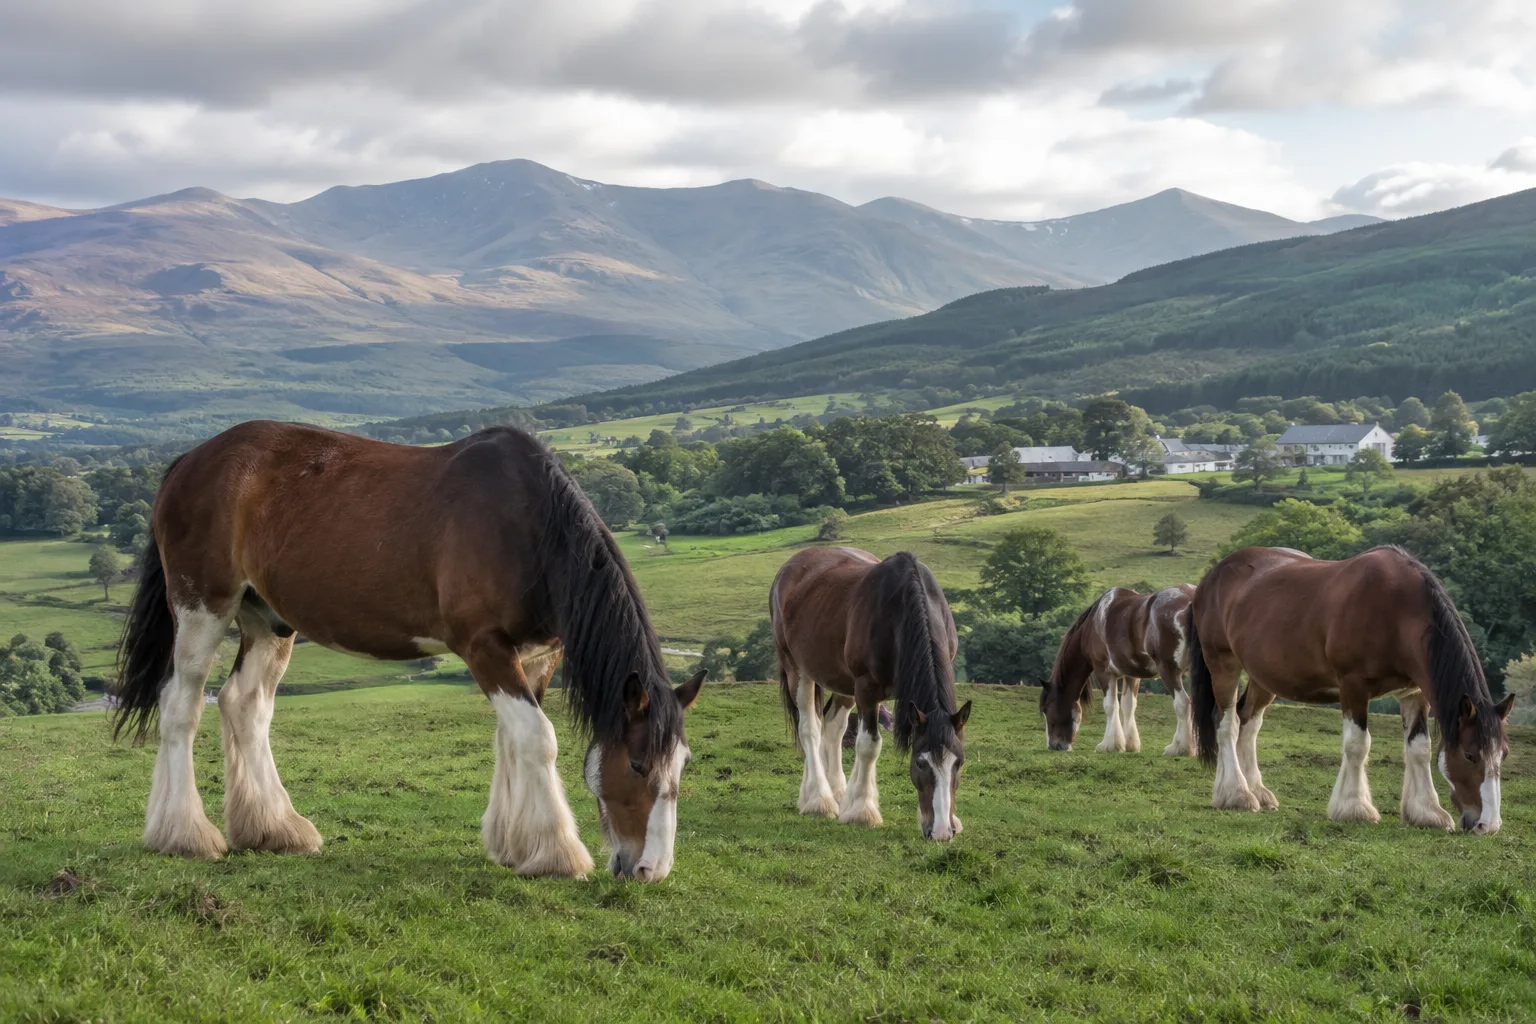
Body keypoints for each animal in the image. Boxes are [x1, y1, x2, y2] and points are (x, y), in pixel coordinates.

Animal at [114, 421, 706, 880]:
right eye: (637, 764)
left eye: (682, 764)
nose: (651, 869)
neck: (527, 526)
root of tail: (190, 460)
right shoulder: (484, 648)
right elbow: (539, 741)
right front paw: (557, 855)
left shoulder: (535, 656)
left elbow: (512, 742)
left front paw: (512, 846)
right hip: (202, 608)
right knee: (182, 706)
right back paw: (184, 835)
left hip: (269, 622)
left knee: (245, 705)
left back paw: (275, 830)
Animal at [769, 547, 970, 841]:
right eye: (921, 763)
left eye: (959, 763)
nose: (942, 832)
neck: (902, 611)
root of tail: (790, 565)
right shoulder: (866, 687)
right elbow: (869, 745)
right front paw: (862, 811)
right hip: (797, 668)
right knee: (810, 728)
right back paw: (818, 799)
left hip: (842, 682)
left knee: (832, 727)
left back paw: (836, 793)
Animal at [1040, 585, 1197, 756]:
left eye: (1046, 709)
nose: (1053, 745)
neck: (1093, 623)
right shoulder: (1132, 674)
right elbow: (1128, 705)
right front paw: (1130, 744)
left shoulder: (1103, 670)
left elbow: (1110, 705)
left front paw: (1109, 745)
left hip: (1168, 669)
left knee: (1182, 703)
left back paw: (1179, 748)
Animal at [1189, 545, 1514, 833]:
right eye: (1470, 755)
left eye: (1504, 754)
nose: (1488, 825)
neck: (1398, 611)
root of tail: (1211, 577)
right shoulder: (1353, 686)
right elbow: (1358, 744)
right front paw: (1354, 808)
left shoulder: (1414, 695)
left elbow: (1420, 749)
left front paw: (1427, 813)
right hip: (1223, 663)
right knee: (1227, 723)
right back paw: (1236, 794)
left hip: (1263, 676)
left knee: (1248, 722)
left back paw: (1255, 791)